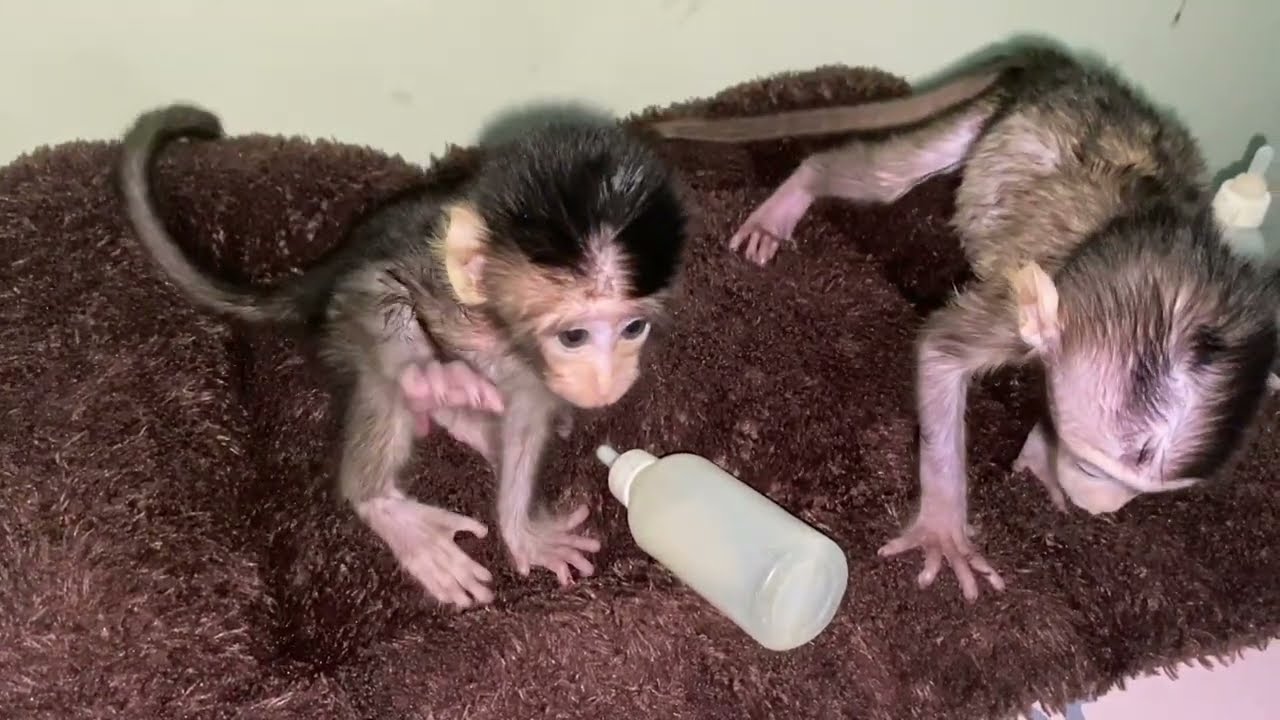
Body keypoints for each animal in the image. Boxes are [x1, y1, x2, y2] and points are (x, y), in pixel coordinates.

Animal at [118, 104, 690, 609]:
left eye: (633, 328)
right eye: (574, 337)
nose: (608, 380)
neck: (498, 329)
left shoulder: (534, 372)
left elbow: (529, 420)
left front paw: (523, 530)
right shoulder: (430, 289)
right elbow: (381, 293)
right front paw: (427, 377)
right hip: (340, 331)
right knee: (378, 374)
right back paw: (390, 500)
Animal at [650, 44, 1280, 602]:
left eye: (1138, 491)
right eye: (1088, 466)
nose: (1097, 507)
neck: (1127, 235)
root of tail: (1063, 69)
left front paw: (1038, 453)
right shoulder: (1012, 311)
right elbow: (940, 352)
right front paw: (944, 525)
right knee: (885, 177)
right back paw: (798, 191)